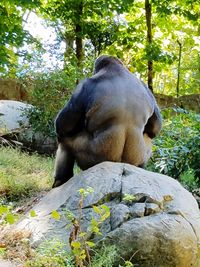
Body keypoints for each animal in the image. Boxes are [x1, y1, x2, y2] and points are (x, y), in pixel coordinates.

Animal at [52, 55, 162, 188]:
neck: (117, 68)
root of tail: (119, 164)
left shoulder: (83, 86)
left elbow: (63, 125)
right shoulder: (148, 90)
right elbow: (156, 127)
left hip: (95, 160)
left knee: (64, 142)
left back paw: (60, 180)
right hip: (136, 159)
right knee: (148, 139)